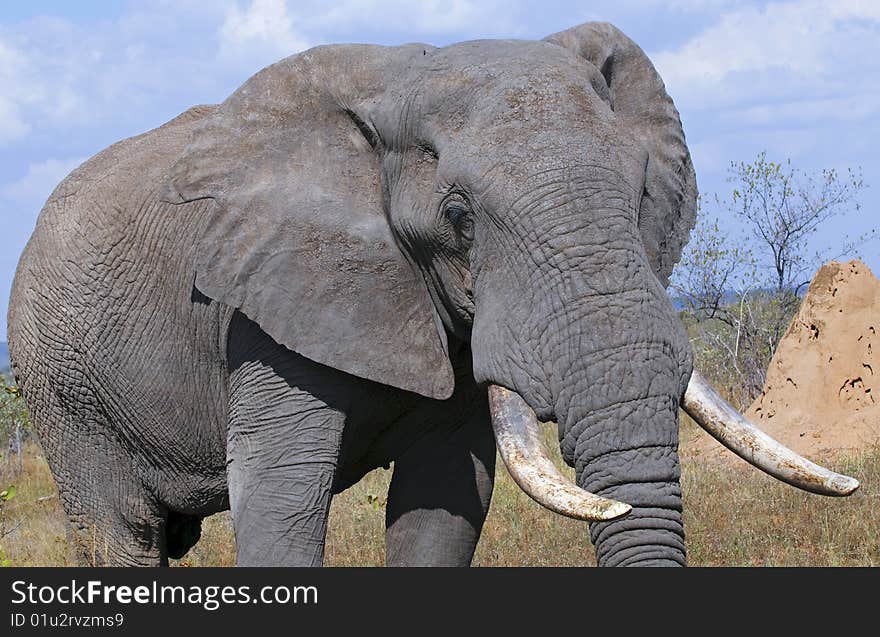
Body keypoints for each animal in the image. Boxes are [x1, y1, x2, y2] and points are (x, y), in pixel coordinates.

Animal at [8, 21, 860, 568]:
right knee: (120, 534)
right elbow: (280, 501)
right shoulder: (262, 310)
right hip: (64, 390)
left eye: (643, 192)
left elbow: (445, 499)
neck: (408, 74)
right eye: (458, 218)